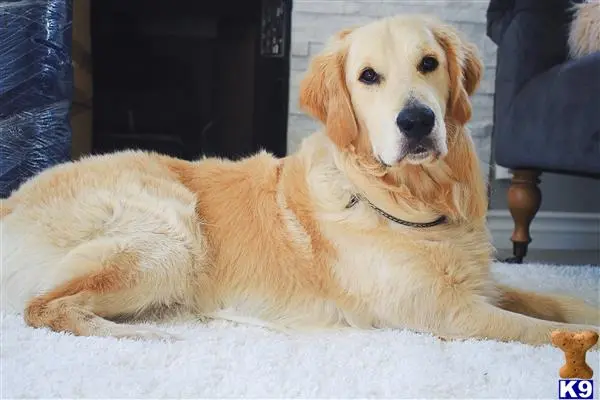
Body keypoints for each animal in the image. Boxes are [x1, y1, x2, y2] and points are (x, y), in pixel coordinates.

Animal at [0, 14, 596, 344]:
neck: (415, 198)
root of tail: (11, 200)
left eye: (429, 63)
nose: (417, 121)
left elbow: (559, 305)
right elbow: (546, 330)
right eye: (368, 76)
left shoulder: (482, 285)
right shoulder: (442, 310)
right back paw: (149, 336)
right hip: (171, 233)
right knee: (42, 308)